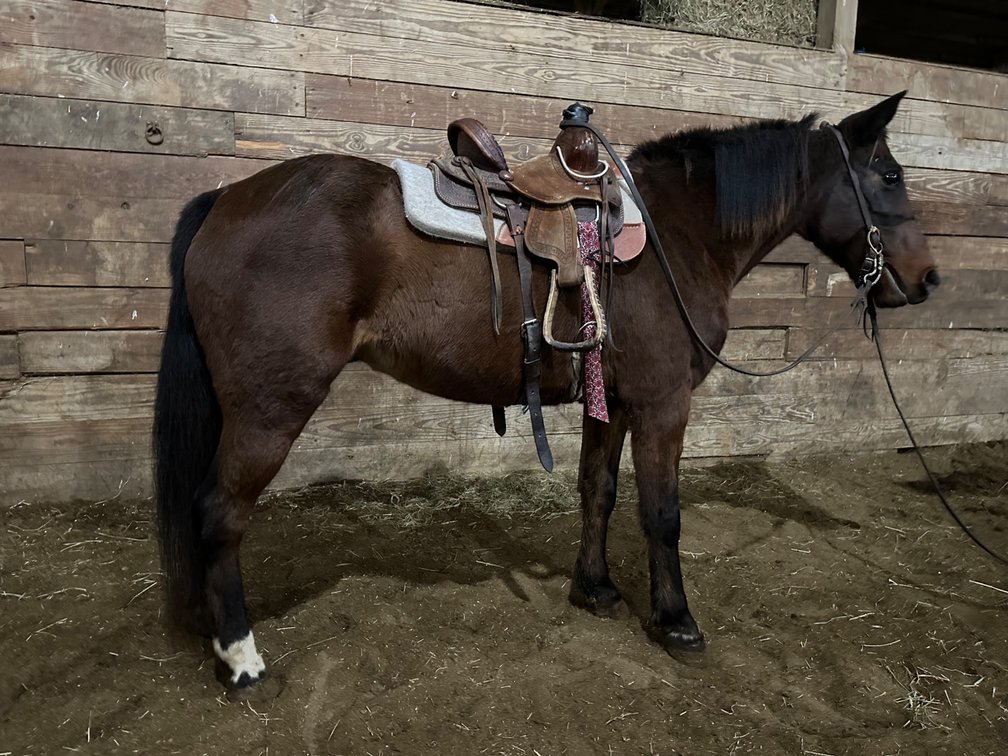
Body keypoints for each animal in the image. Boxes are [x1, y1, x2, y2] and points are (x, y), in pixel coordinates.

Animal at [153, 92, 938, 689]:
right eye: (889, 174)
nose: (927, 279)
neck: (678, 235)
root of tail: (225, 198)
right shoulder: (663, 404)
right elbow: (662, 514)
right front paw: (676, 620)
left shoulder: (612, 402)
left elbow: (599, 490)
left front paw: (595, 588)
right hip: (269, 409)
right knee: (220, 514)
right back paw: (242, 657)